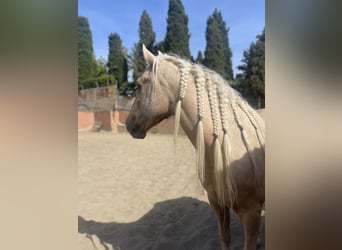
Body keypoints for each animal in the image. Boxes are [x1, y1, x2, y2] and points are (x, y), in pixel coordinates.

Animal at [125, 45, 264, 250]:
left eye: (138, 85)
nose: (128, 124)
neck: (227, 146)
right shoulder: (217, 203)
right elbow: (225, 237)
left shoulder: (252, 213)